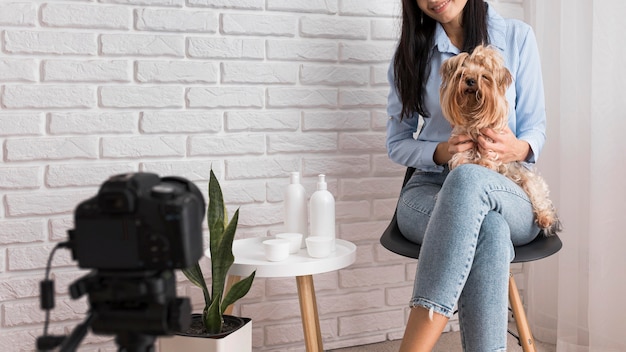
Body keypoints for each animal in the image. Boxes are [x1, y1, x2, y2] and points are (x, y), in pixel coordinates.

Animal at [436, 46, 560, 234]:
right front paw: (463, 162)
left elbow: (490, 152)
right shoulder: (460, 138)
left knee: (540, 196)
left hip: (529, 180)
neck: (473, 116)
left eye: (484, 77)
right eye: (462, 74)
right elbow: (461, 155)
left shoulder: (494, 137)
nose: (471, 81)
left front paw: (485, 163)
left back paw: (545, 218)